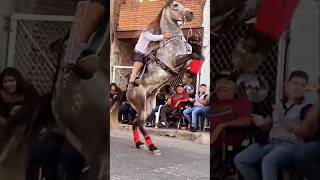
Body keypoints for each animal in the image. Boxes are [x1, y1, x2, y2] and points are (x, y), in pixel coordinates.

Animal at [126, 0, 194, 155]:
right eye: (175, 5)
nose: (191, 13)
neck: (174, 40)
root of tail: (127, 92)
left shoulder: (184, 60)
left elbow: (193, 58)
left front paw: (189, 76)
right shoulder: (175, 60)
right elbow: (195, 55)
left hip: (149, 105)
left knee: (135, 122)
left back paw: (140, 144)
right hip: (141, 103)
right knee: (140, 123)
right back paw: (153, 147)